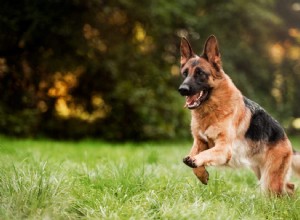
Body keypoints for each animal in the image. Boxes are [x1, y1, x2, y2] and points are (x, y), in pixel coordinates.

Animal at [178, 35, 300, 195]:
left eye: (200, 73)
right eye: (185, 73)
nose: (182, 89)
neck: (212, 109)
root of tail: (285, 138)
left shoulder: (223, 149)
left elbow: (204, 155)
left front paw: (196, 162)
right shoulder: (200, 142)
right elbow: (193, 156)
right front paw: (201, 173)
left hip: (269, 180)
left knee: (282, 190)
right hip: (261, 172)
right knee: (290, 186)